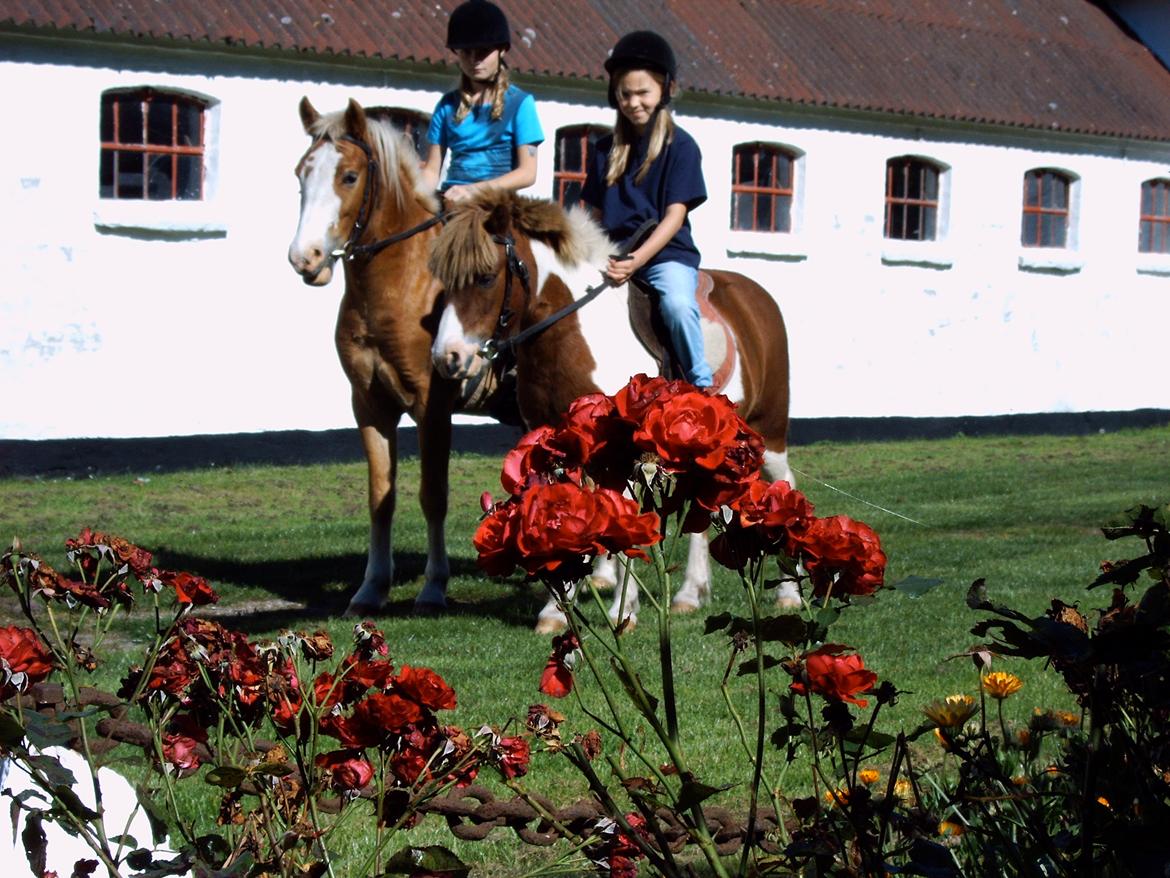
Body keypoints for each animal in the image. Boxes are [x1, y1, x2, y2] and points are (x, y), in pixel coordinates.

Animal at [287, 99, 507, 613]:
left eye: (349, 176)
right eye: (301, 173)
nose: (305, 258)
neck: (400, 287)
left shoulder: (432, 405)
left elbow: (433, 495)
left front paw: (433, 587)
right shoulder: (370, 405)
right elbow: (381, 497)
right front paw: (372, 588)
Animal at [425, 194, 800, 632]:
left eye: (485, 278)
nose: (447, 358)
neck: (574, 333)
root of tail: (756, 296)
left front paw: (626, 608)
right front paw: (557, 610)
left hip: (770, 430)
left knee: (785, 484)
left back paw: (789, 595)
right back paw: (690, 593)